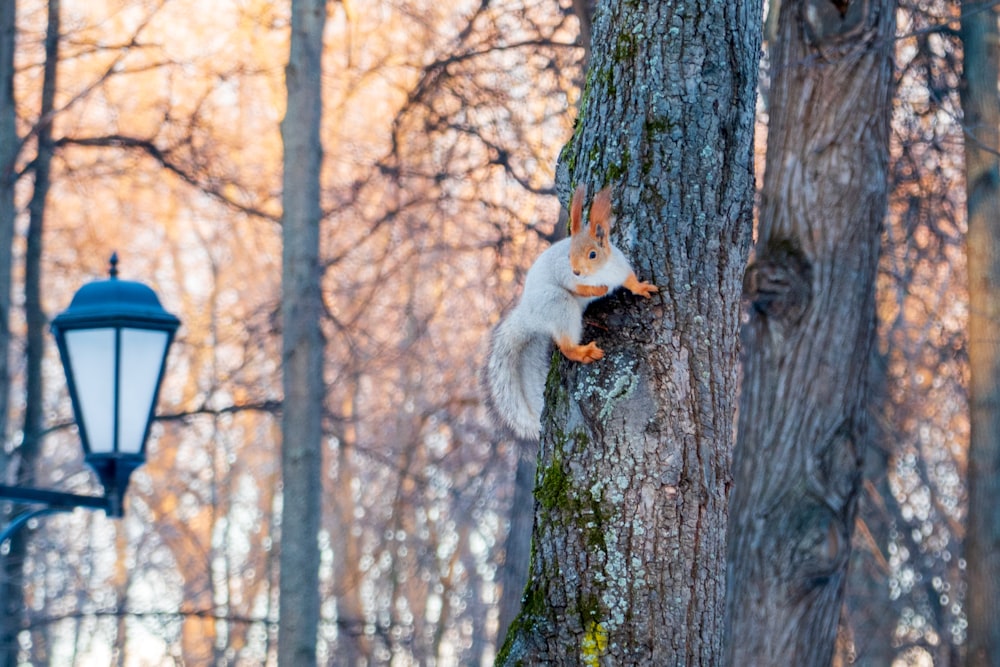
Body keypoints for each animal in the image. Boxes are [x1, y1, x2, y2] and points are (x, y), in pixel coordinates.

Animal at [482, 185, 656, 440]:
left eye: (593, 254)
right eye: (568, 254)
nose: (576, 271)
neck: (601, 272)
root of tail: (530, 316)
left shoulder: (621, 268)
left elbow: (630, 282)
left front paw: (642, 288)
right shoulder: (565, 275)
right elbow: (578, 286)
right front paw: (597, 289)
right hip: (558, 304)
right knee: (565, 346)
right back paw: (584, 352)